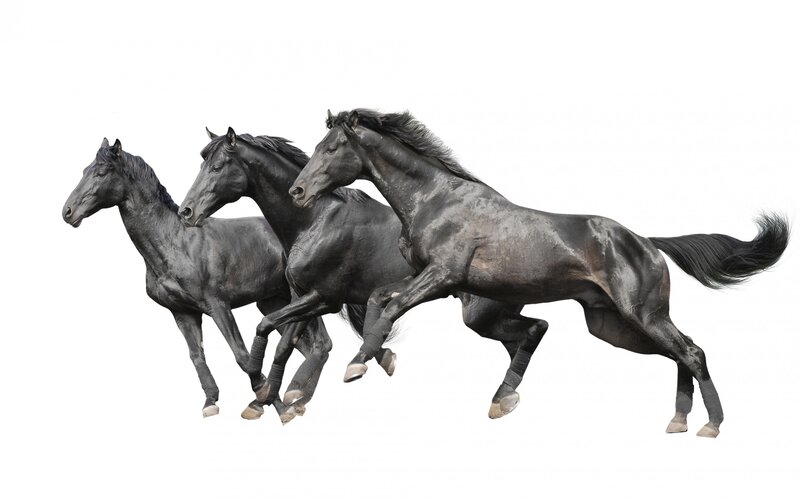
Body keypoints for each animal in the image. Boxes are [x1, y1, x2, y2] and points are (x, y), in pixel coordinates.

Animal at [62, 138, 328, 421]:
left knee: (321, 344)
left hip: (300, 300)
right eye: (84, 170)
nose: (67, 212)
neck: (175, 242)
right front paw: (212, 402)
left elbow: (242, 355)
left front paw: (267, 401)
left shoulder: (218, 306)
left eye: (101, 173)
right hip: (273, 302)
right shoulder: (183, 313)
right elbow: (197, 356)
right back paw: (298, 400)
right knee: (309, 347)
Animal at [179, 127, 549, 419]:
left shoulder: (323, 298)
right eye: (201, 165)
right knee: (523, 338)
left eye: (216, 167)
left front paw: (266, 391)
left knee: (532, 332)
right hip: (488, 317)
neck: (314, 221)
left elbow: (268, 327)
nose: (186, 212)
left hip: (481, 314)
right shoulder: (302, 297)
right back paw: (505, 398)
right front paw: (270, 398)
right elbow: (285, 342)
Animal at [289, 109, 790, 437]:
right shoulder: (430, 280)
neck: (435, 199)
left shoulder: (443, 276)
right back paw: (679, 420)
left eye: (331, 148)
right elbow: (379, 300)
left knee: (692, 351)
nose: (297, 191)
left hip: (642, 315)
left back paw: (712, 425)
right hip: (613, 326)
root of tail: (648, 243)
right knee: (678, 354)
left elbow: (390, 306)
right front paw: (371, 359)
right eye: (316, 148)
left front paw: (356, 366)